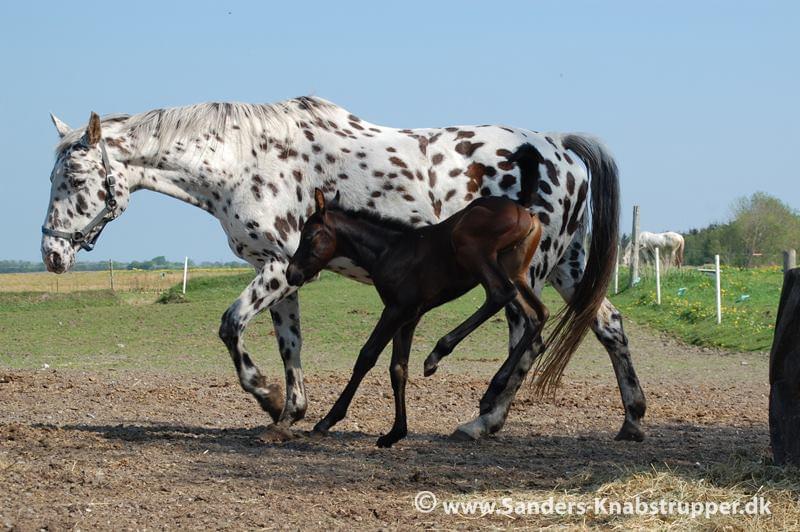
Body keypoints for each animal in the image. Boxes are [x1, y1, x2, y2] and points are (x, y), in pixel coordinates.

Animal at [284, 189, 548, 446]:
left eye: (309, 235)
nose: (291, 273)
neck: (388, 250)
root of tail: (527, 214)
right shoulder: (409, 317)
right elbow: (398, 369)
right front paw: (395, 433)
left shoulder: (396, 309)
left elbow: (367, 357)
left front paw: (326, 422)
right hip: (515, 270)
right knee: (537, 315)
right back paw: (492, 390)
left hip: (472, 249)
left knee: (500, 294)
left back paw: (438, 354)